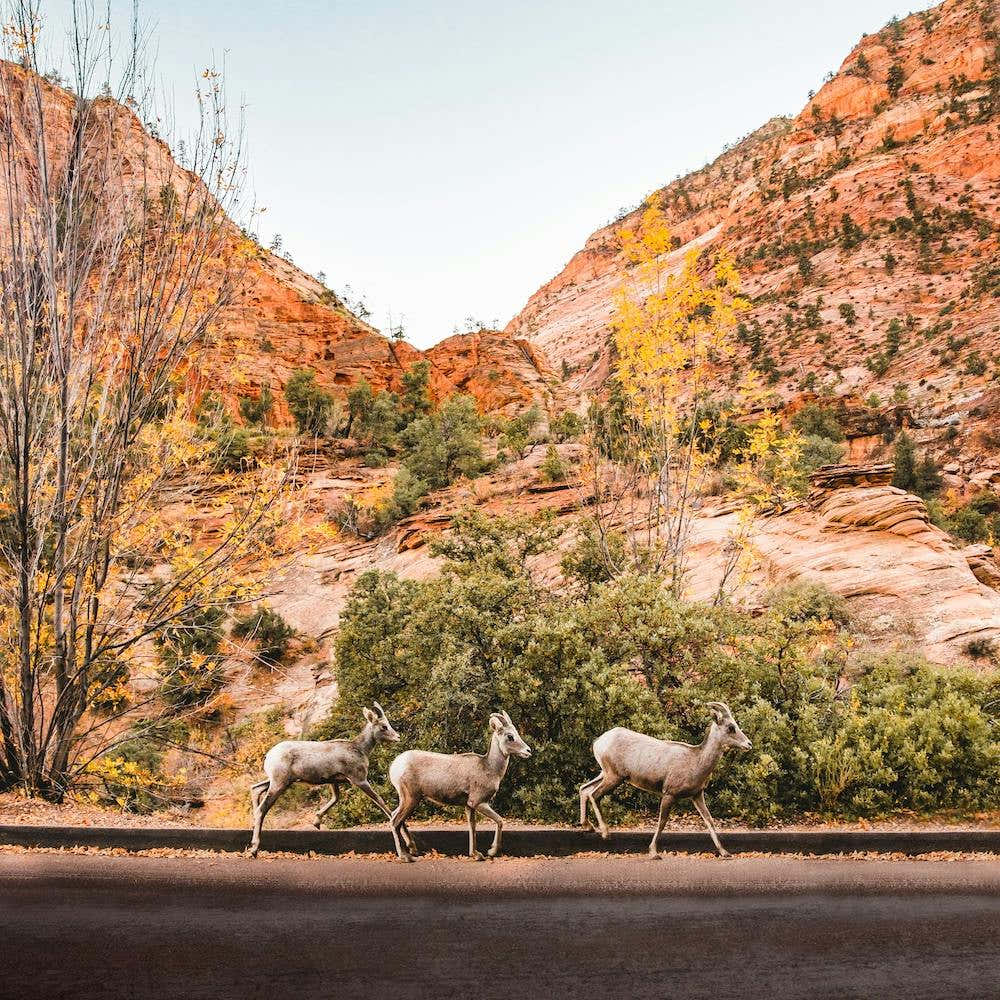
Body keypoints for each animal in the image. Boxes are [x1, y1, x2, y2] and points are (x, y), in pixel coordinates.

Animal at [248, 701, 400, 858]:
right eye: (384, 726)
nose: (398, 737)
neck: (359, 748)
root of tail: (269, 755)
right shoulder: (360, 780)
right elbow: (380, 801)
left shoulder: (333, 782)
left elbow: (335, 798)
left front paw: (316, 823)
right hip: (279, 784)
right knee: (261, 809)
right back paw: (254, 849)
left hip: (278, 782)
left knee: (255, 789)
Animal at [387, 710, 531, 862]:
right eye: (510, 736)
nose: (528, 751)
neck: (489, 767)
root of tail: (395, 766)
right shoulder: (478, 803)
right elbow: (499, 820)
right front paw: (491, 852)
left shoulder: (469, 807)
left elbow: (472, 826)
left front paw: (476, 854)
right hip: (411, 798)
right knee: (395, 821)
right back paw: (405, 856)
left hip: (406, 799)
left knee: (394, 816)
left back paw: (412, 849)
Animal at [579, 702, 752, 859]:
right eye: (730, 727)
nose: (749, 744)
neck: (696, 760)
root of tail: (599, 741)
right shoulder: (669, 795)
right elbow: (662, 821)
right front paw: (654, 853)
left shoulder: (697, 795)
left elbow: (709, 820)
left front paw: (725, 852)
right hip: (614, 777)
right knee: (594, 794)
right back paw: (605, 833)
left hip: (605, 774)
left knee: (584, 789)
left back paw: (588, 826)